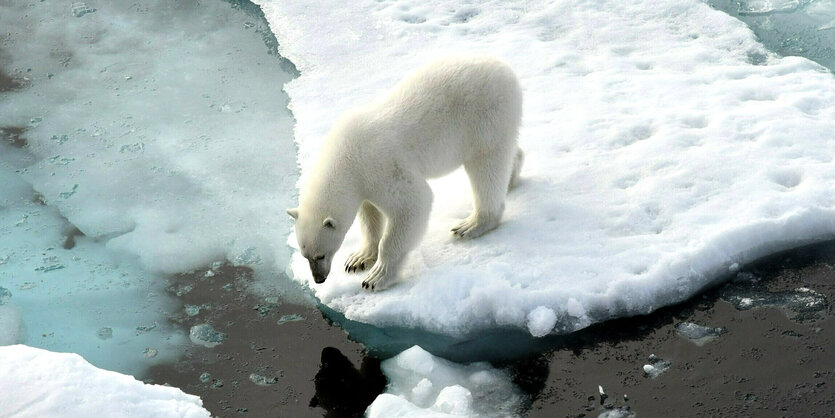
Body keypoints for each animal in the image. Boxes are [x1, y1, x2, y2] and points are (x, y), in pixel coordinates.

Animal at [288, 55, 524, 290]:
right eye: (304, 254)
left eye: (320, 255)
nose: (319, 279)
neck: (345, 157)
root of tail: (506, 70)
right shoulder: (363, 182)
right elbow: (370, 215)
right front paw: (358, 259)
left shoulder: (380, 166)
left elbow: (412, 204)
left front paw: (376, 277)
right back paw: (511, 177)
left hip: (485, 117)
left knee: (486, 166)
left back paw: (471, 224)